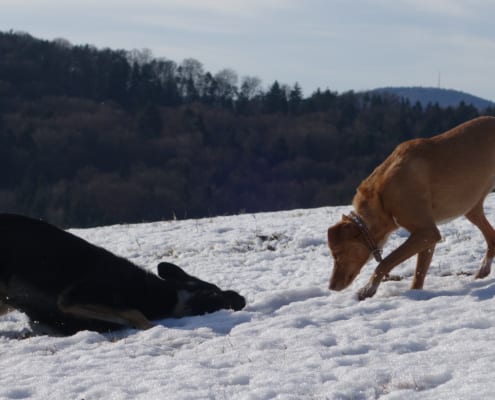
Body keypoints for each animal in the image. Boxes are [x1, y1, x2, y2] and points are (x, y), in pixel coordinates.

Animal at [0, 214, 247, 336]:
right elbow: (137, 314)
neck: (162, 293)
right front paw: (156, 329)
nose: (241, 299)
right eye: (215, 295)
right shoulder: (74, 298)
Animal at [328, 115, 495, 300]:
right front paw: (416, 294)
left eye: (338, 254)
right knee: (492, 237)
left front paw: (368, 288)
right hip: (471, 207)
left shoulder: (426, 232)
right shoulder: (427, 238)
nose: (331, 286)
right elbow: (419, 273)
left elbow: (386, 261)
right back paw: (483, 270)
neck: (382, 197)